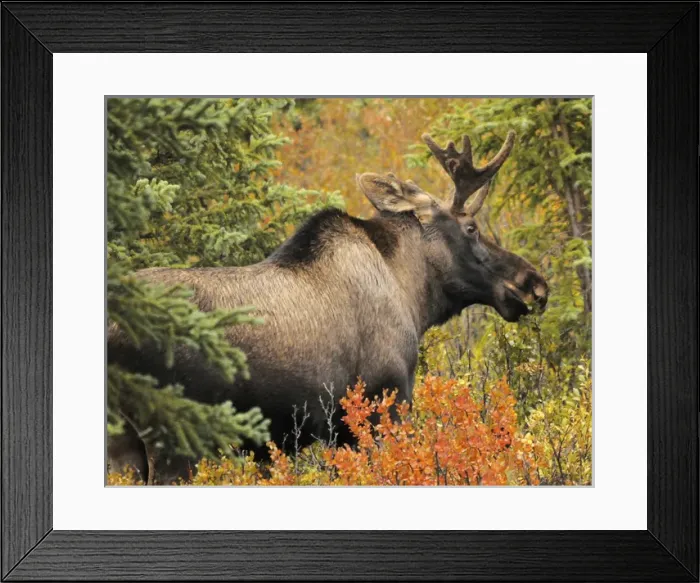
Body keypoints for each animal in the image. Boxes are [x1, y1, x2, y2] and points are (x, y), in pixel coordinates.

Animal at [108, 130, 548, 471]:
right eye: (471, 228)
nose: (535, 285)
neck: (412, 296)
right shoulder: (381, 402)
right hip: (172, 437)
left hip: (122, 444)